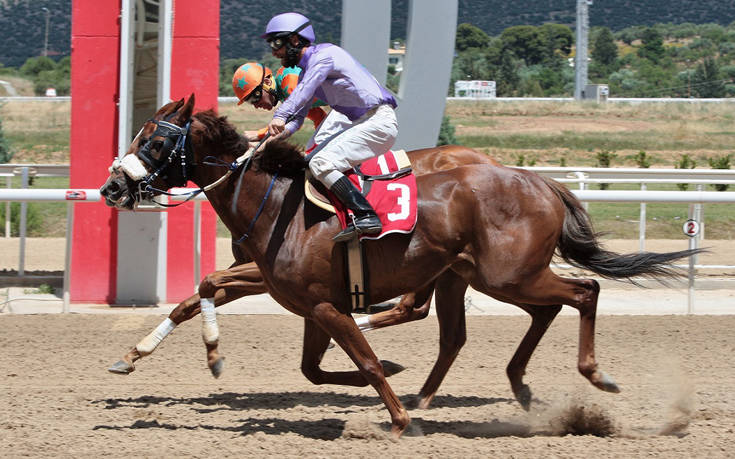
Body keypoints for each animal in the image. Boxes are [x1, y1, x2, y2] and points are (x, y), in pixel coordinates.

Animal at [100, 96, 700, 438]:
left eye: (155, 140)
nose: (111, 188)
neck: (277, 206)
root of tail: (539, 180)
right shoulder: (310, 302)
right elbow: (311, 365)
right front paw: (138, 356)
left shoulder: (320, 303)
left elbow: (361, 361)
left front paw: (398, 419)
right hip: (480, 276)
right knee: (507, 320)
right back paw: (507, 389)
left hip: (506, 274)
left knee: (584, 291)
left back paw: (593, 375)